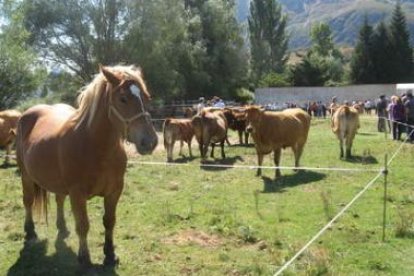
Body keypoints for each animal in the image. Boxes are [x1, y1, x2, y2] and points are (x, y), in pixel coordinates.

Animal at [16, 65, 158, 268]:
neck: (95, 147)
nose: (150, 142)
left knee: (59, 199)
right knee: (27, 201)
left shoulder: (115, 191)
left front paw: (110, 254)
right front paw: (85, 259)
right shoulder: (77, 194)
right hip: (26, 176)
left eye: (146, 97)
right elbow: (83, 225)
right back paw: (30, 232)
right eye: (122, 98)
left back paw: (62, 227)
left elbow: (109, 221)